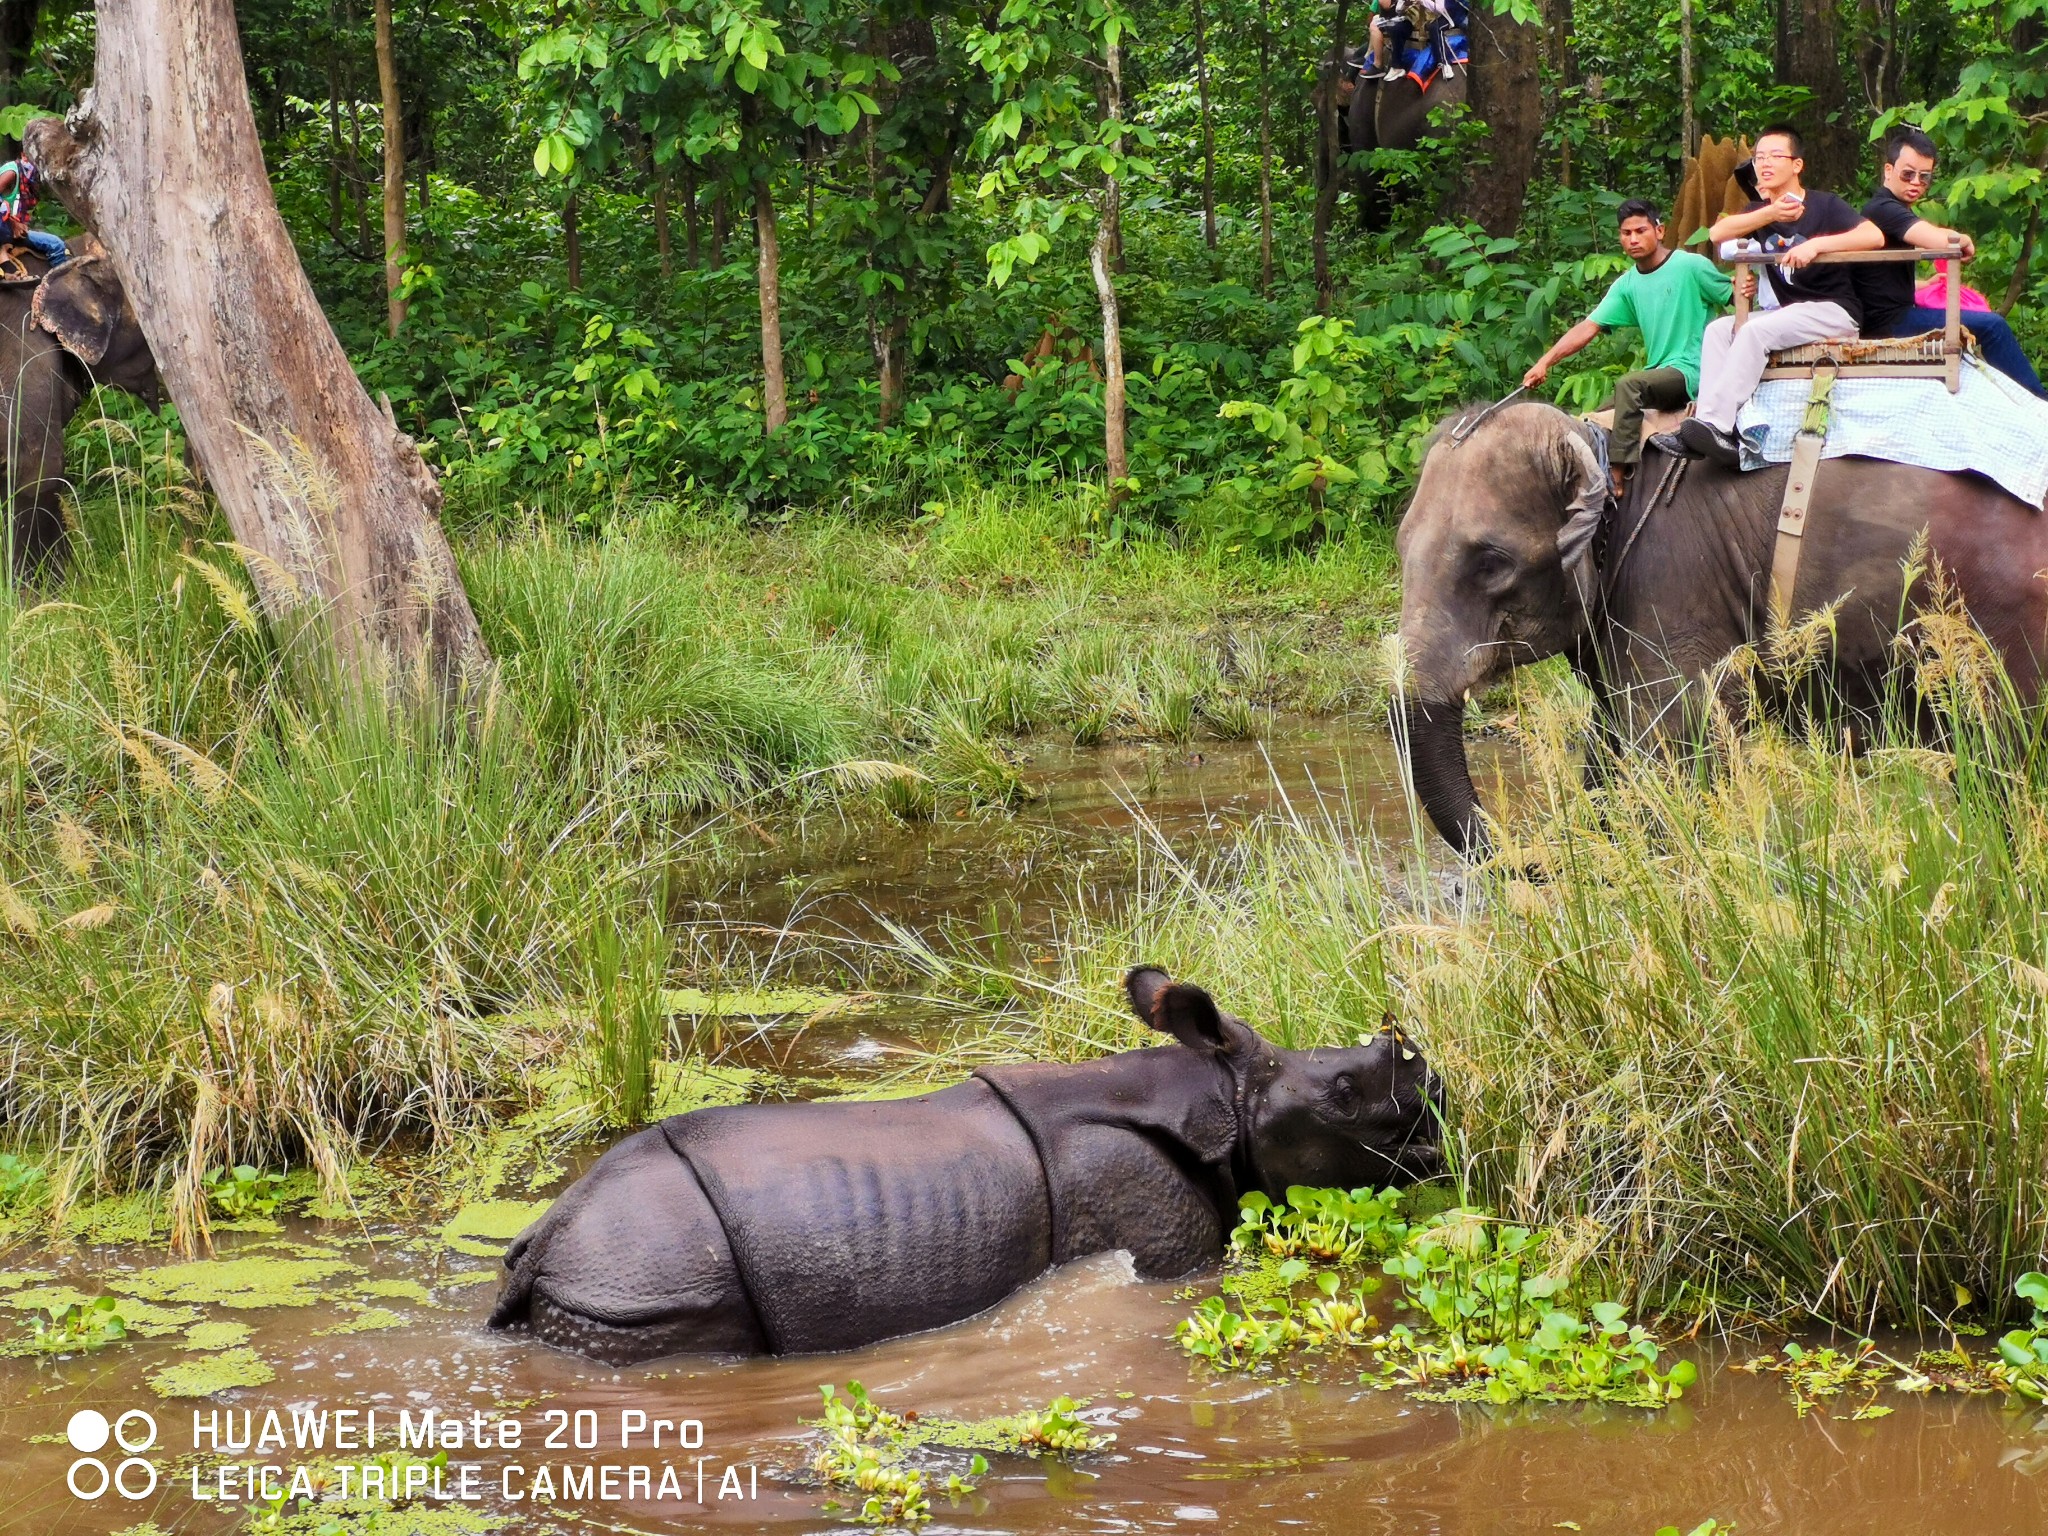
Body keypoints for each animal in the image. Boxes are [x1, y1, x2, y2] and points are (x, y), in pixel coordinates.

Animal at [487, 966, 1441, 1368]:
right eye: (1347, 1092)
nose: (1436, 1109)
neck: (1221, 1097)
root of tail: (545, 1241)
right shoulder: (1151, 1231)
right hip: (646, 1275)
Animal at [1392, 399, 2048, 856]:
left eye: (1491, 563)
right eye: (1400, 550)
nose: (1531, 857)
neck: (1601, 446)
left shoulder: (1673, 580)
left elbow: (1672, 754)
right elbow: (1613, 750)